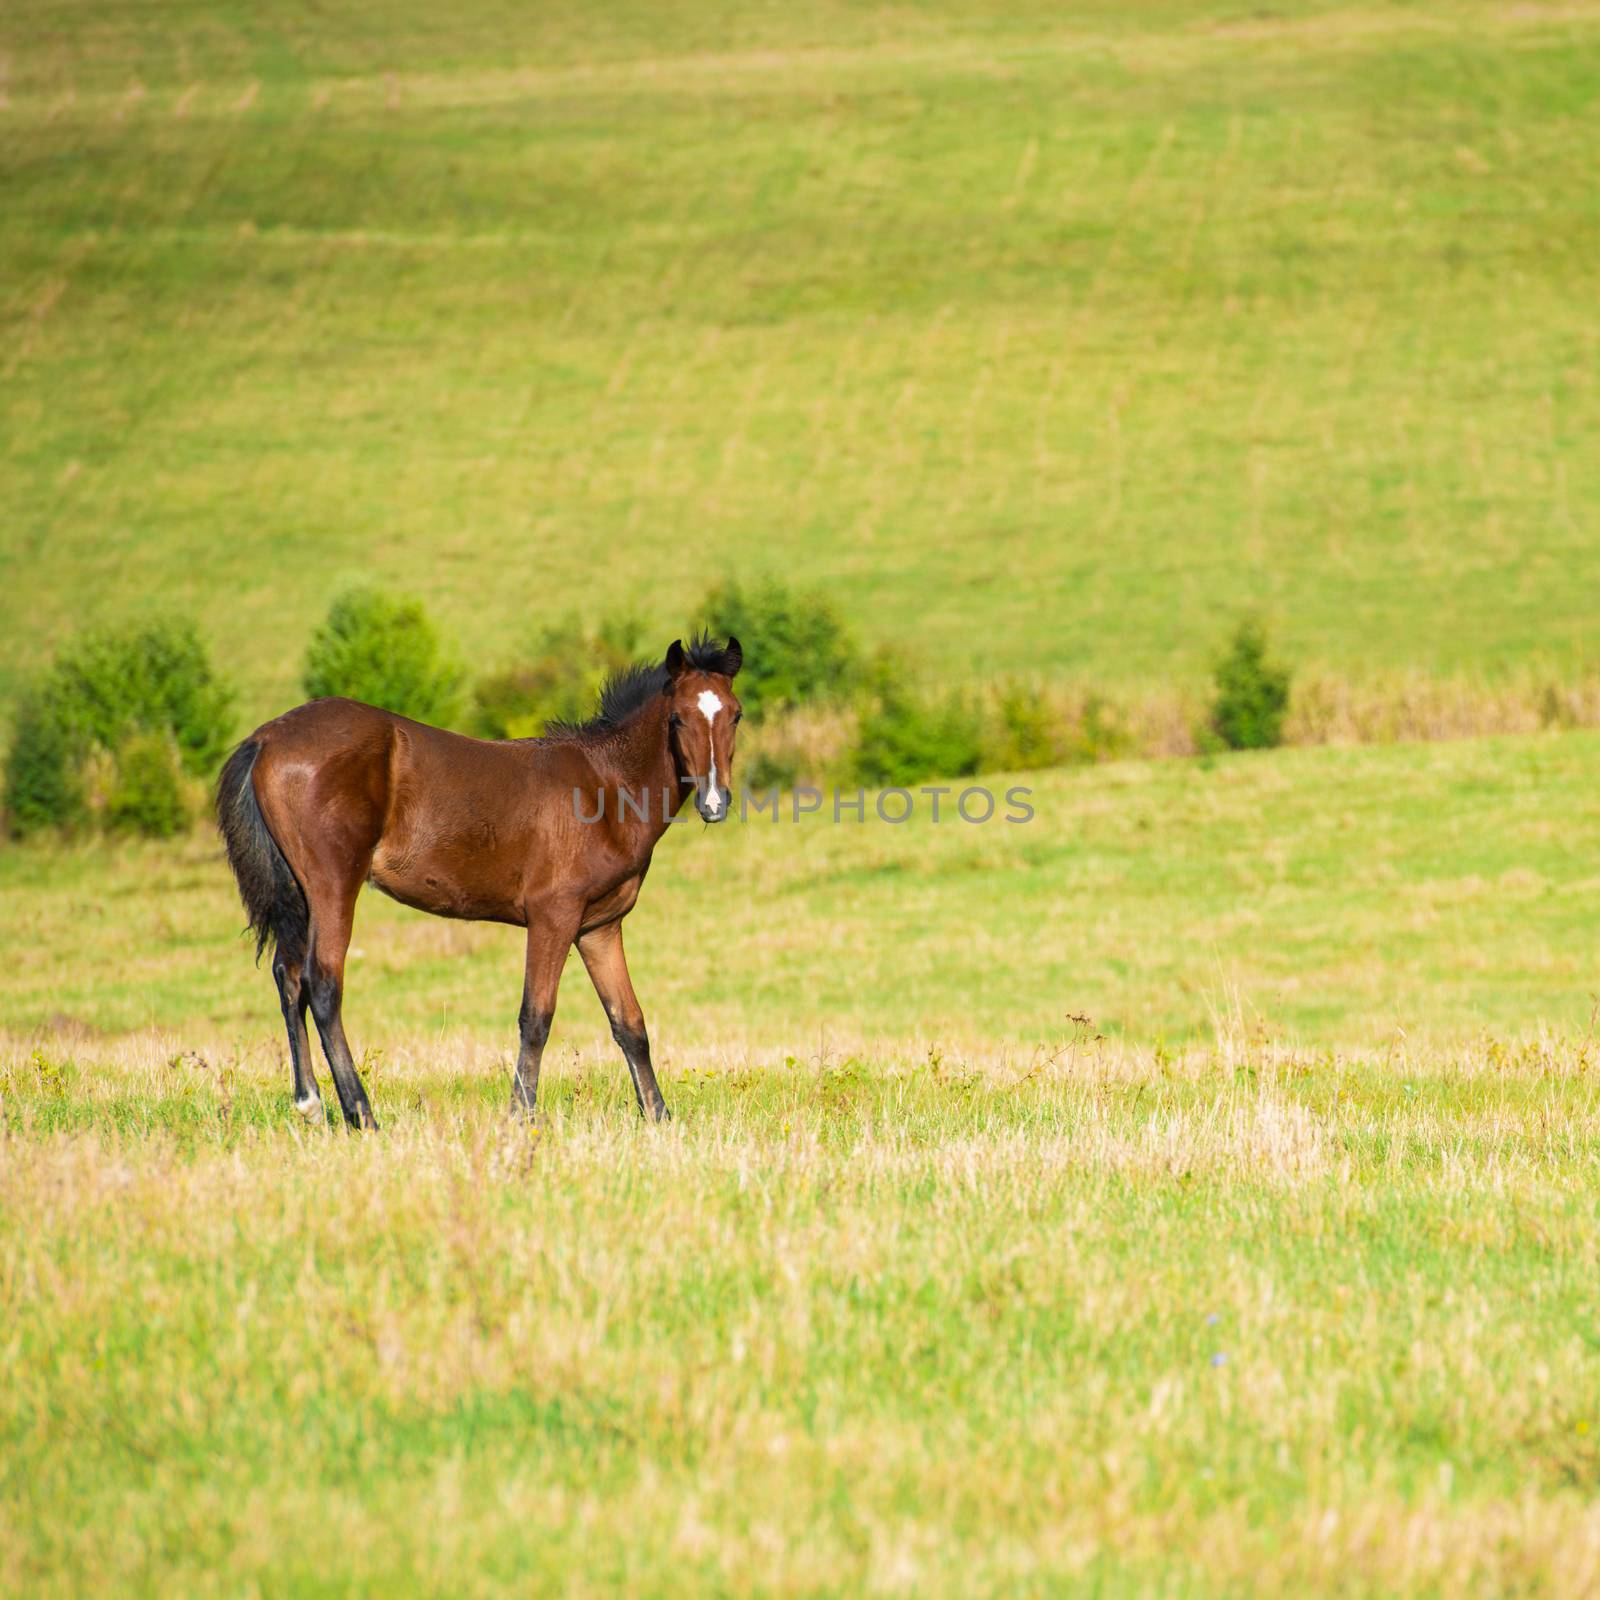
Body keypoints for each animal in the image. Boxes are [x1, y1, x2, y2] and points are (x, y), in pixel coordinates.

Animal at [217, 630, 742, 1132]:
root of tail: (266, 738)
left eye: (734, 716)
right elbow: (537, 1016)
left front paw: (659, 1117)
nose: (714, 803)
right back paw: (362, 1115)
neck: (605, 787)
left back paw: (310, 1103)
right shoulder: (554, 916)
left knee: (289, 977)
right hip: (333, 883)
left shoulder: (599, 928)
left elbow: (629, 1022)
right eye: (677, 719)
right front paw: (520, 1116)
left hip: (299, 891)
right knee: (323, 984)